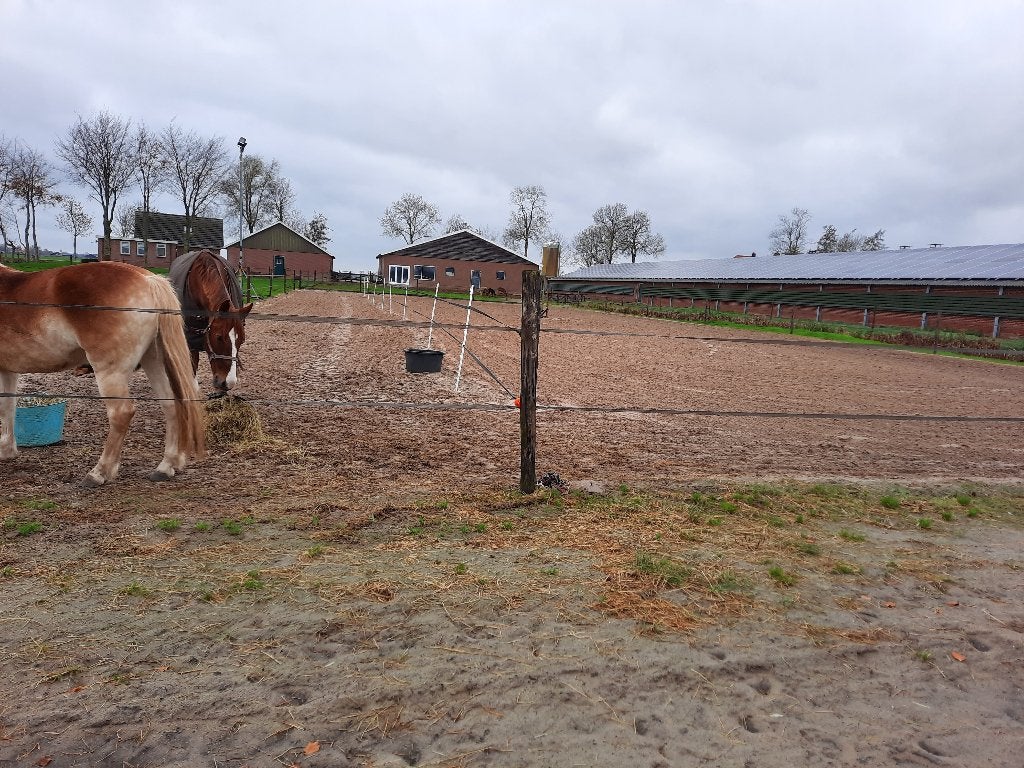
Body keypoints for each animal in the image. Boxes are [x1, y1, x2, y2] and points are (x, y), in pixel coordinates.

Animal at [0, 261, 206, 486]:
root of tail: (148, 279)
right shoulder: (8, 370)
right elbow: (7, 406)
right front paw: (6, 450)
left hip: (110, 373)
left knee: (121, 414)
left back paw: (99, 472)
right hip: (154, 359)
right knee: (171, 403)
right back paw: (166, 466)